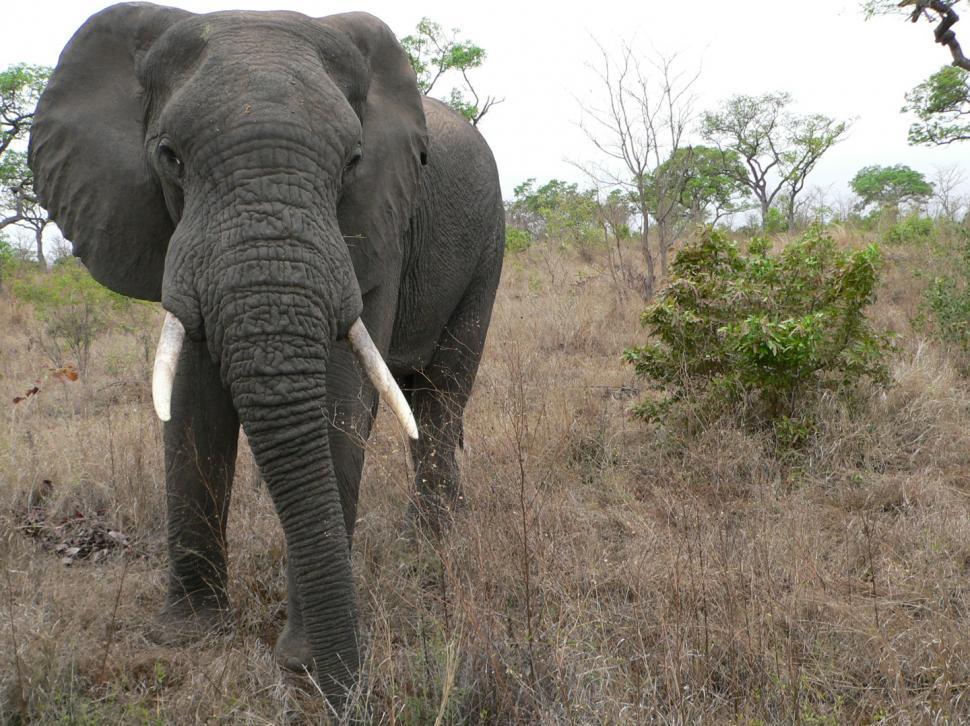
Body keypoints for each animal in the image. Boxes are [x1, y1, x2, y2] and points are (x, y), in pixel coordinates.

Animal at [28, 2, 504, 702]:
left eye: (354, 159)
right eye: (168, 156)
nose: (343, 688)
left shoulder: (379, 227)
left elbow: (339, 401)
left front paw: (303, 661)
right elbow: (191, 408)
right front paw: (186, 636)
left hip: (489, 241)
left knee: (441, 397)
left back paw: (430, 545)